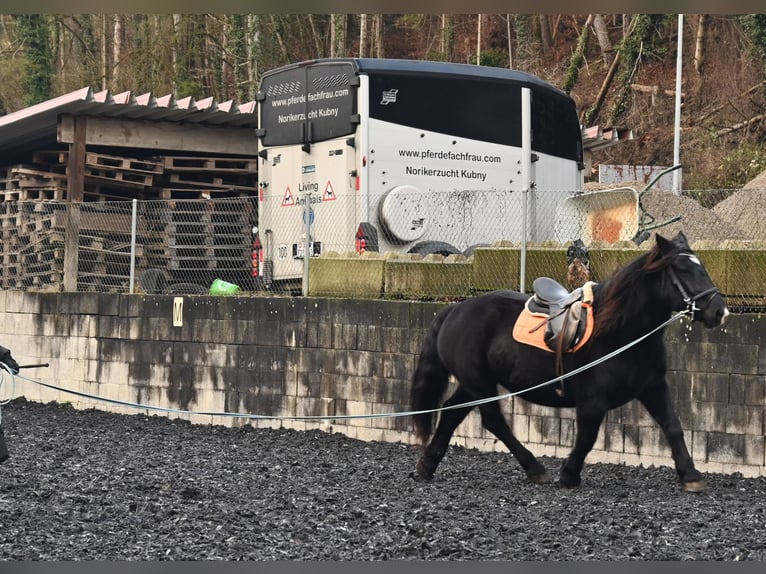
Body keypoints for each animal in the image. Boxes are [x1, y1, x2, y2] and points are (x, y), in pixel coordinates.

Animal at [414, 232, 732, 492]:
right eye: (683, 270)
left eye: (702, 267)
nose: (720, 311)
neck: (618, 330)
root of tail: (454, 310)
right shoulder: (592, 400)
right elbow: (588, 435)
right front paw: (569, 474)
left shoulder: (653, 386)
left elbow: (673, 426)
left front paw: (690, 475)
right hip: (478, 382)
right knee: (493, 420)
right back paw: (534, 468)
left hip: (473, 383)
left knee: (452, 413)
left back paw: (427, 465)